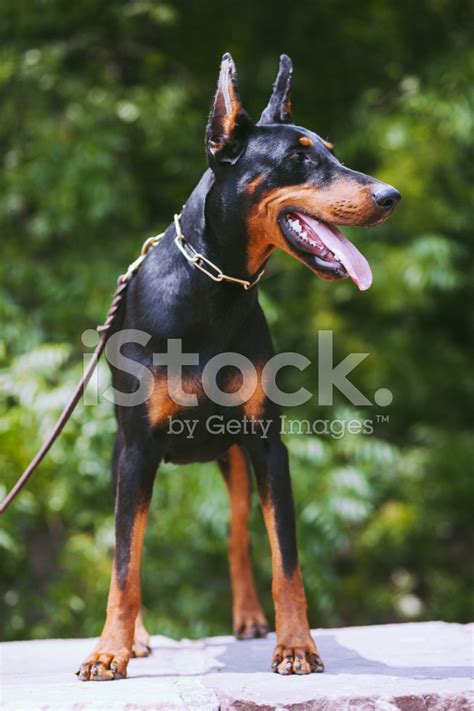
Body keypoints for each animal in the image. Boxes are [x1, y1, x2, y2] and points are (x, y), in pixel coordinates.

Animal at [77, 54, 400, 680]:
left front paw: (296, 646)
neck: (214, 286)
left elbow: (286, 560)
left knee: (237, 536)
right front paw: (110, 651)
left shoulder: (266, 444)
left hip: (231, 458)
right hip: (125, 457)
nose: (390, 196)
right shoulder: (138, 449)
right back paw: (137, 638)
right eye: (299, 158)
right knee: (131, 543)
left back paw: (250, 618)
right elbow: (126, 563)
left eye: (331, 150)